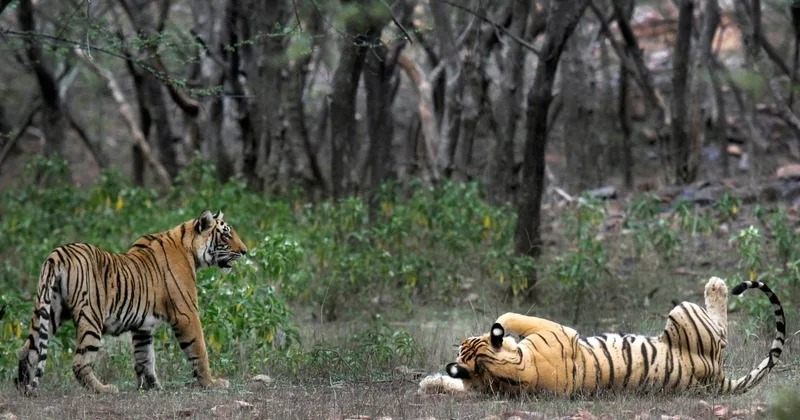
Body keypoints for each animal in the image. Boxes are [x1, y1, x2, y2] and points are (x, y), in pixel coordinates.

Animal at [10, 210, 247, 395]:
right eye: (226, 235)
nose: (245, 251)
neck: (189, 249)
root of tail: (58, 254)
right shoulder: (186, 314)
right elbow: (199, 350)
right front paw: (212, 383)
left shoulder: (143, 326)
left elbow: (145, 357)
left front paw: (152, 387)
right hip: (90, 316)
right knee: (80, 362)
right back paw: (104, 389)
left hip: (50, 311)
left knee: (27, 349)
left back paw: (23, 387)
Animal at [419, 277, 785, 397]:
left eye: (464, 344)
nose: (461, 342)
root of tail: (718, 378)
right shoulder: (555, 330)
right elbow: (509, 317)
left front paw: (428, 382)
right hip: (684, 312)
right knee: (722, 332)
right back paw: (717, 285)